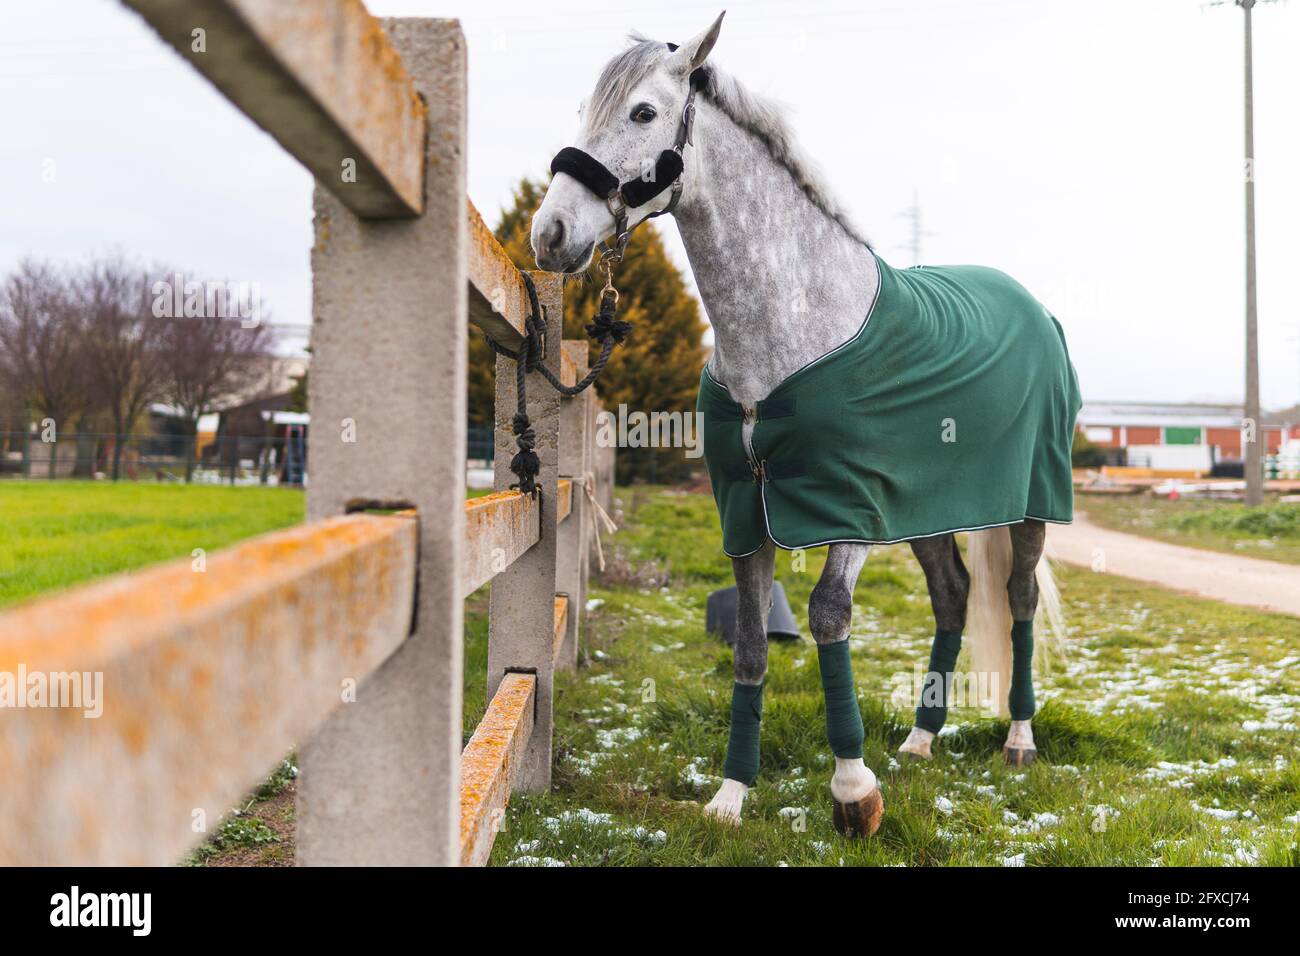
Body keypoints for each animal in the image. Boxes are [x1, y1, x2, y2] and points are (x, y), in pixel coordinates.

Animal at [530, 12, 1078, 837]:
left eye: (644, 113)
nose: (550, 233)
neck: (792, 329)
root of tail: (1034, 309)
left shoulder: (846, 510)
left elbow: (826, 617)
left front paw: (853, 792)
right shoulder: (745, 516)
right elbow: (753, 645)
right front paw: (731, 795)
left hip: (1031, 506)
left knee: (1017, 601)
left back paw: (1018, 738)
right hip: (926, 512)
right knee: (953, 594)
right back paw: (921, 740)